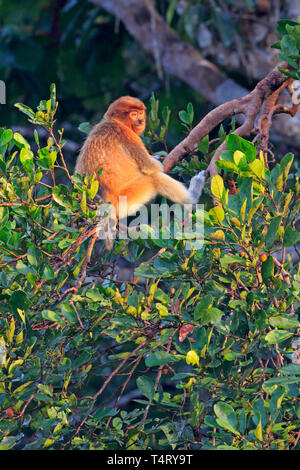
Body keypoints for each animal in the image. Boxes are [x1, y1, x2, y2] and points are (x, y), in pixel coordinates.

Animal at [75, 94, 206, 244]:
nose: (140, 120)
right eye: (133, 114)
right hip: (129, 198)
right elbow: (150, 167)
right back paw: (193, 195)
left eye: (140, 112)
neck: (115, 122)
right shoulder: (127, 135)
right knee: (154, 178)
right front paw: (156, 161)